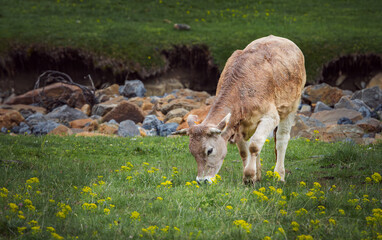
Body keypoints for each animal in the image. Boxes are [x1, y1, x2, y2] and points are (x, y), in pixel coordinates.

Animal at [173, 35, 308, 184]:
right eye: (192, 152)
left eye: (209, 150)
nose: (202, 180)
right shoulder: (239, 125)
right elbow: (244, 151)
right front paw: (250, 177)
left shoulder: (270, 117)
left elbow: (254, 146)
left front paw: (249, 175)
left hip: (291, 107)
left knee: (281, 139)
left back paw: (279, 175)